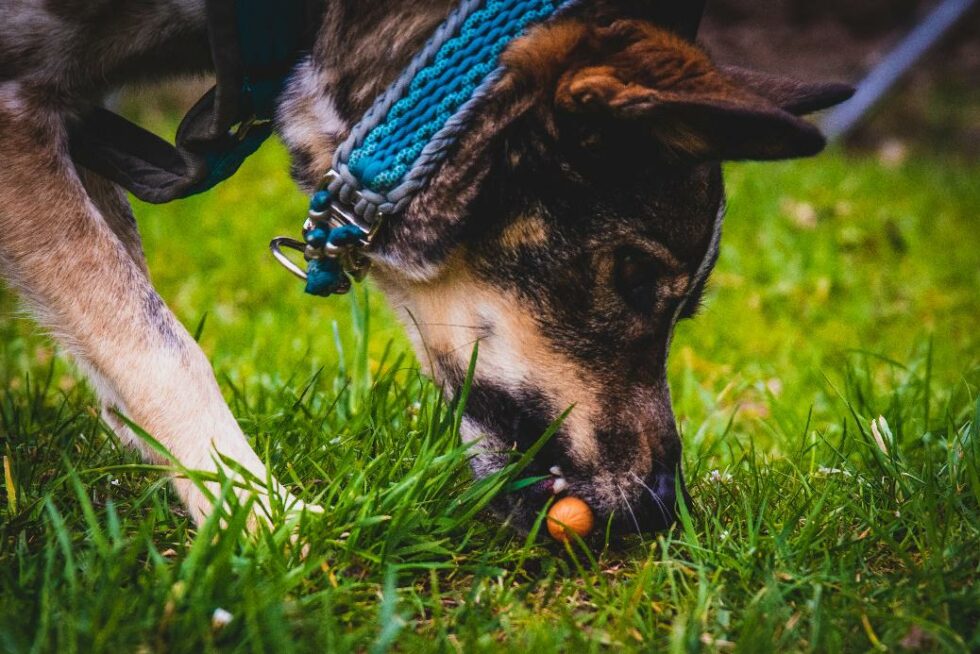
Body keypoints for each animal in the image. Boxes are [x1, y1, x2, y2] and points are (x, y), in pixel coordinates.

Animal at [0, 0, 848, 536]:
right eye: (636, 280)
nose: (660, 512)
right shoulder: (24, 113)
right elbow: (159, 346)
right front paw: (262, 519)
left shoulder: (76, 114)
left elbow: (123, 323)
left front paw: (191, 479)